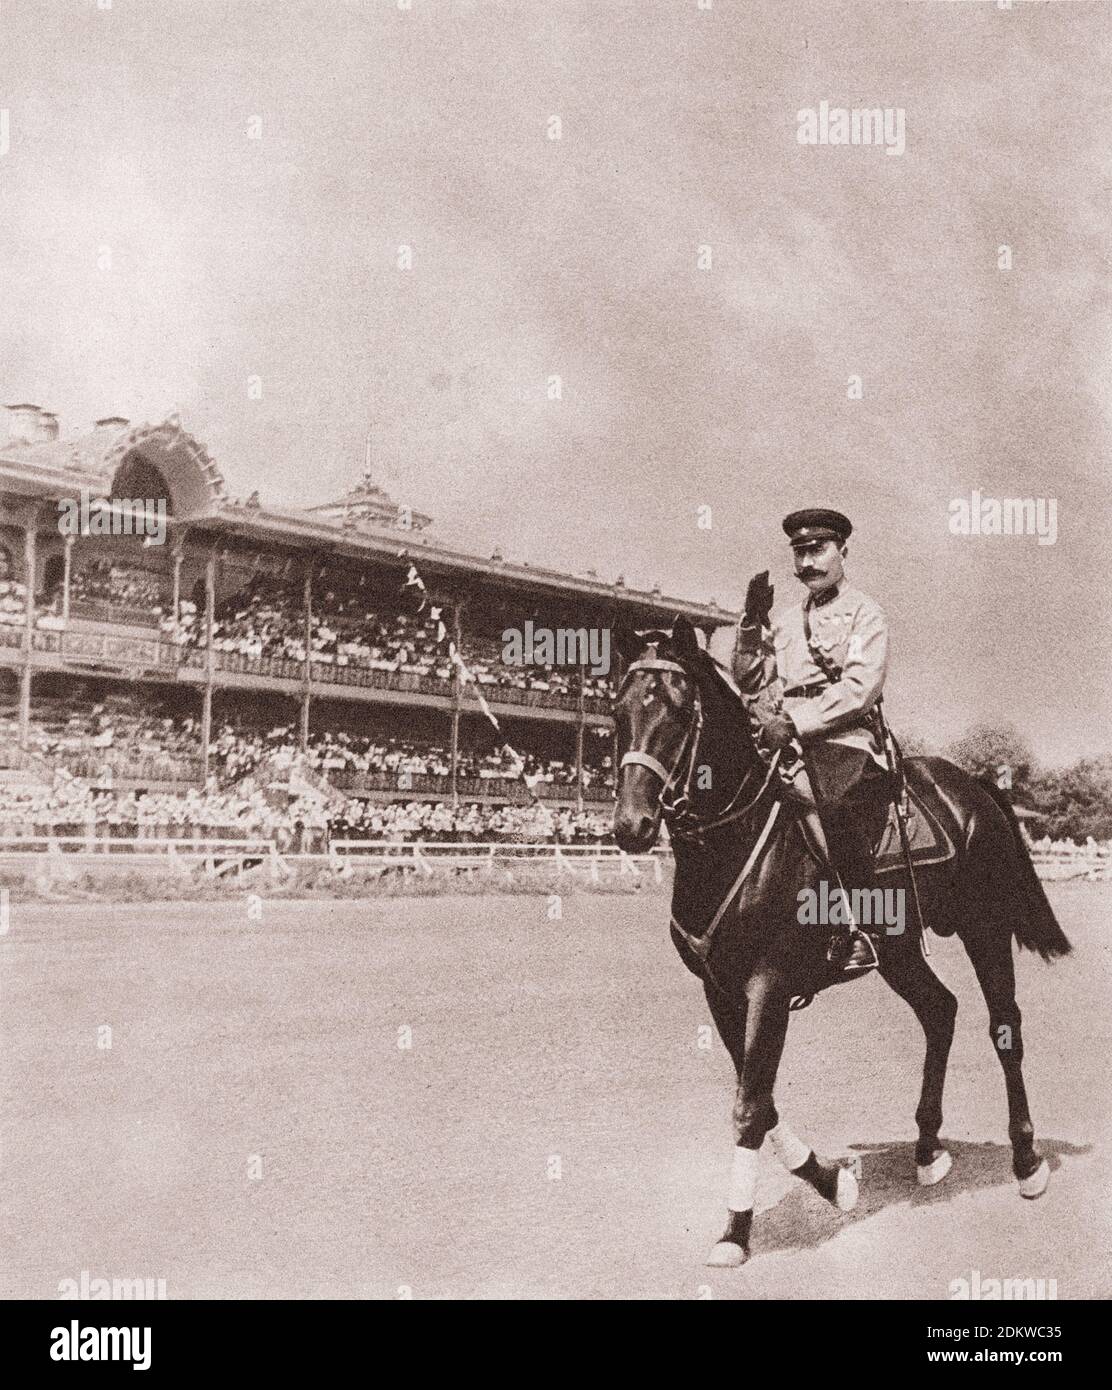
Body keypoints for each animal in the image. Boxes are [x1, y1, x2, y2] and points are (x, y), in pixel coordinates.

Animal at [611, 619, 1073, 1273]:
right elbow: (762, 1101)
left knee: (1004, 1026)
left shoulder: (768, 986)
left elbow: (749, 1107)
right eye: (618, 710)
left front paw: (735, 1230)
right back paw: (927, 1149)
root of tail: (973, 786)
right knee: (941, 1012)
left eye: (677, 710)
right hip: (900, 951)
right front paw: (832, 1183)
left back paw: (1027, 1163)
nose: (631, 826)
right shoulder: (720, 991)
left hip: (985, 929)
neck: (739, 838)